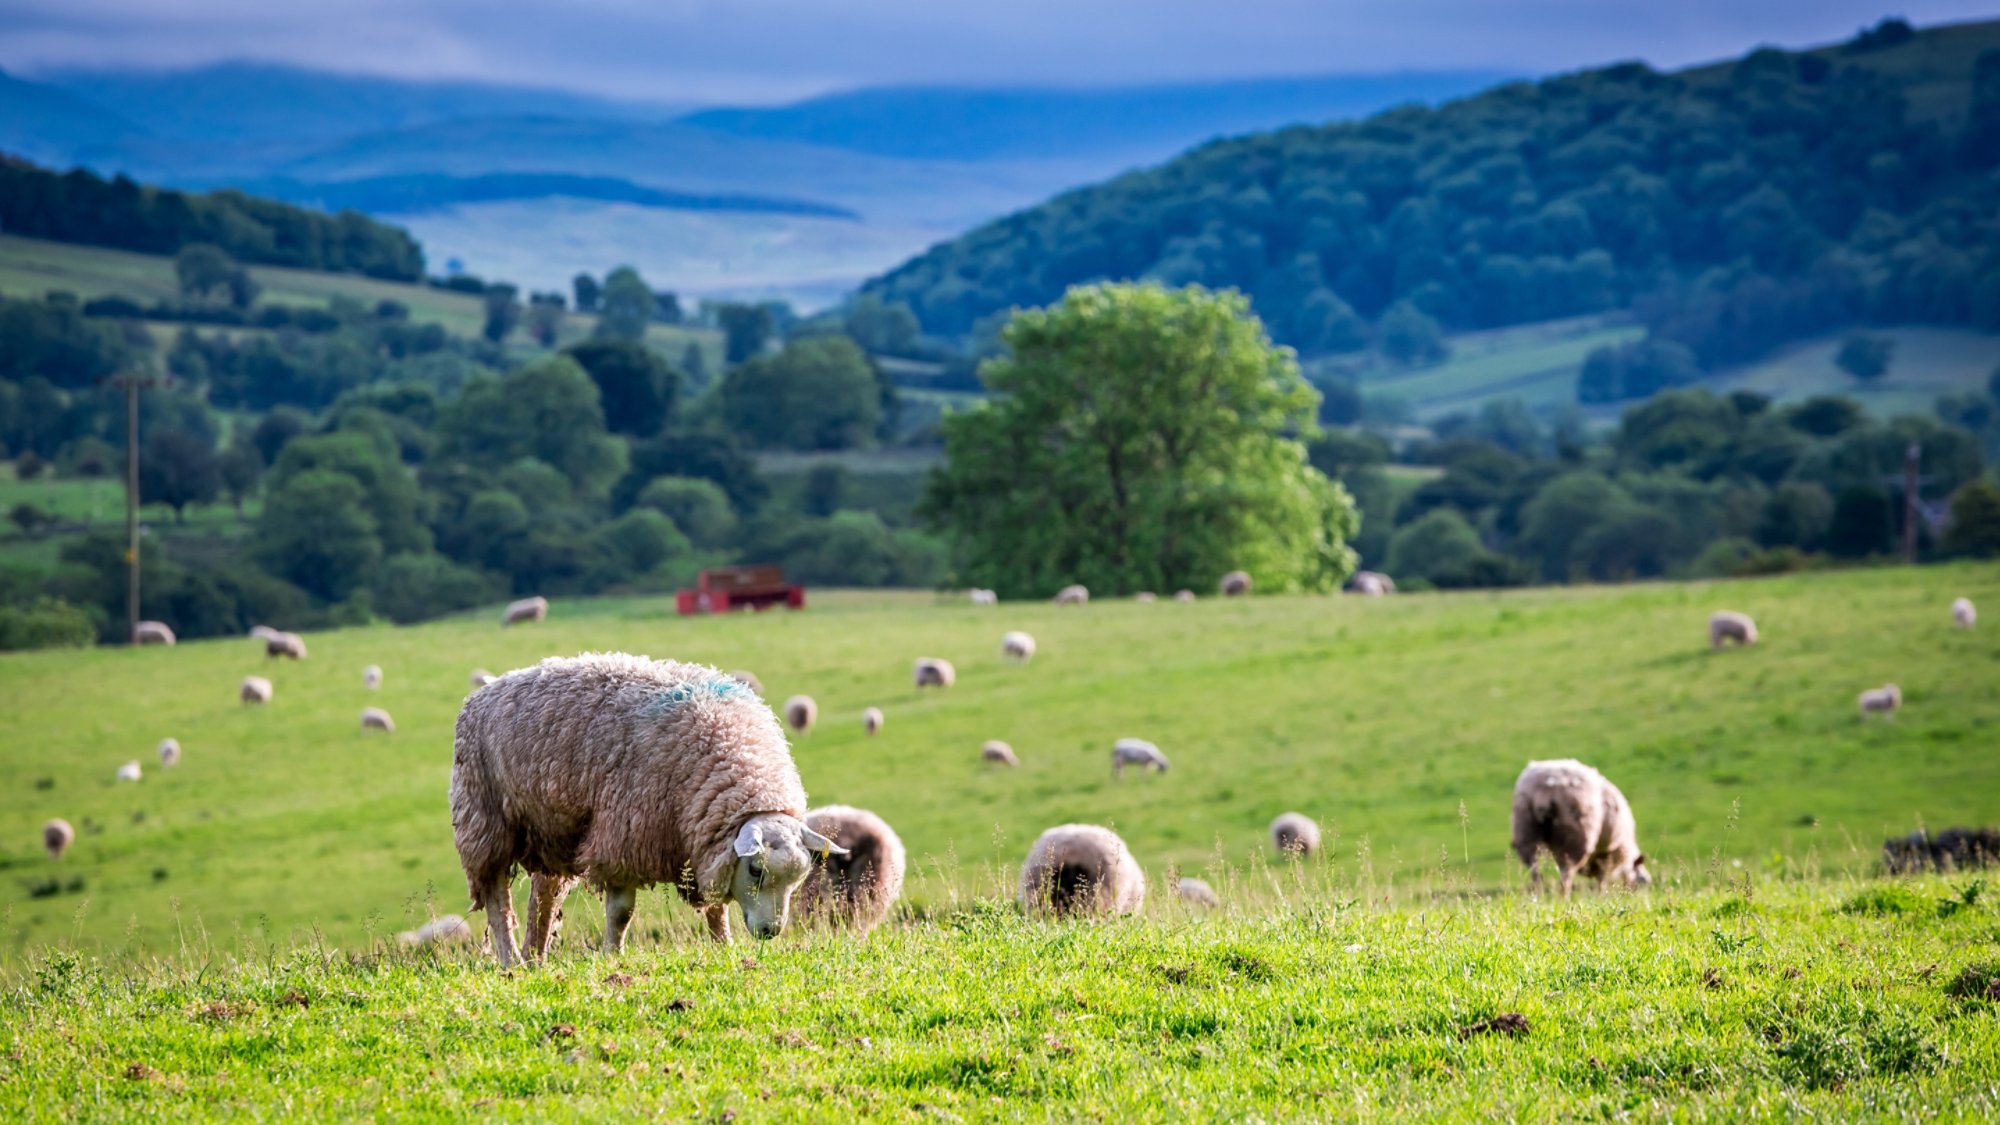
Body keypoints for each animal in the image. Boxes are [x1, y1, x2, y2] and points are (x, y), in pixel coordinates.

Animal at [452, 648, 844, 964]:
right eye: (756, 870)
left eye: (798, 877)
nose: (770, 931)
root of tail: (487, 689)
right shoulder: (623, 837)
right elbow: (621, 913)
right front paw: (612, 954)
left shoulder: (703, 843)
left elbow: (716, 907)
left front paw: (724, 945)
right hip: (484, 820)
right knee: (497, 898)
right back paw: (511, 960)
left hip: (553, 832)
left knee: (543, 898)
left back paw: (535, 956)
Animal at [1504, 752, 1648, 892]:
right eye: (1643, 881)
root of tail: (1547, 788)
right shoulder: (1607, 852)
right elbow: (1602, 878)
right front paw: (1600, 894)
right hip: (1574, 835)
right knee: (1566, 875)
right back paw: (1564, 896)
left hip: (1525, 830)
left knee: (1535, 870)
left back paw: (1538, 893)